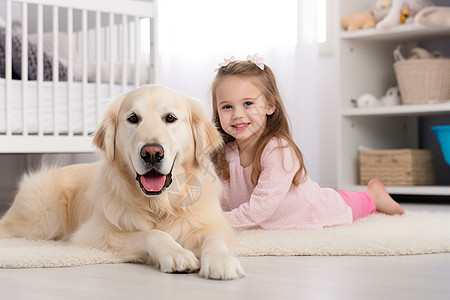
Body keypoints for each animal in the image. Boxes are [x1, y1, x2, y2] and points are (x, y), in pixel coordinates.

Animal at [0, 84, 244, 278]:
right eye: (133, 118)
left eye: (170, 118)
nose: (152, 153)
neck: (160, 205)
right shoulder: (97, 234)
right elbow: (153, 234)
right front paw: (176, 253)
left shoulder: (213, 224)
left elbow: (215, 238)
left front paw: (221, 260)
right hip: (42, 220)